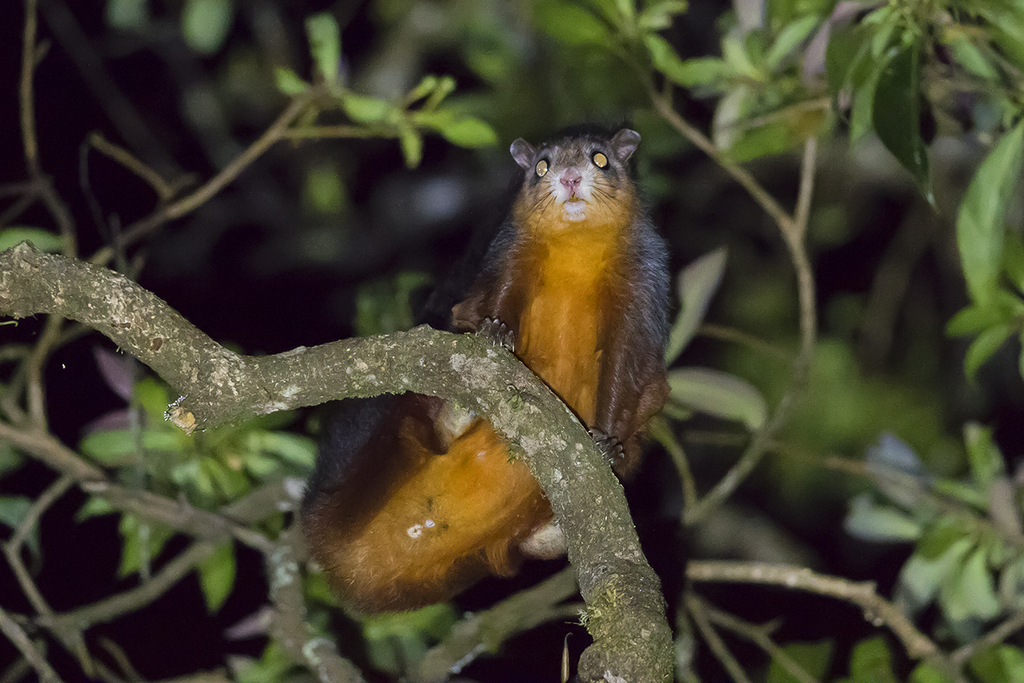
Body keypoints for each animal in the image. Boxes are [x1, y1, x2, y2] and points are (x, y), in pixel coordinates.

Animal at [301, 126, 671, 613]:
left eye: (600, 159)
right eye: (542, 166)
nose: (570, 178)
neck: (578, 249)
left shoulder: (643, 284)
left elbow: (627, 365)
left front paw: (606, 440)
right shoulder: (508, 256)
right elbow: (492, 302)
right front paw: (496, 331)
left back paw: (556, 529)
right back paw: (455, 416)